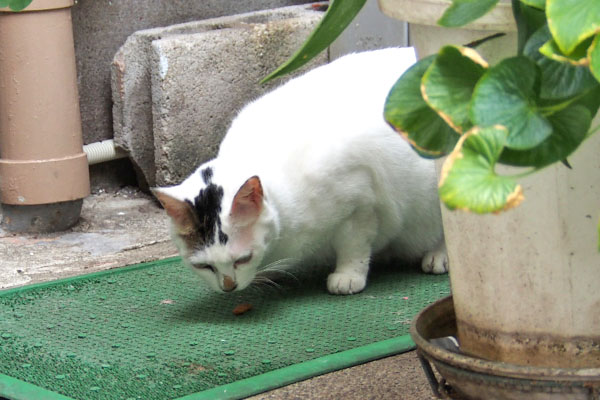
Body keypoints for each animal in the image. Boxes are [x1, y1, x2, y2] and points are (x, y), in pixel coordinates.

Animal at [152, 47, 448, 296]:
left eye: (242, 259)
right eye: (204, 266)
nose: (228, 287)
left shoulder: (360, 203)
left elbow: (354, 246)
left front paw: (347, 276)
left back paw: (438, 256)